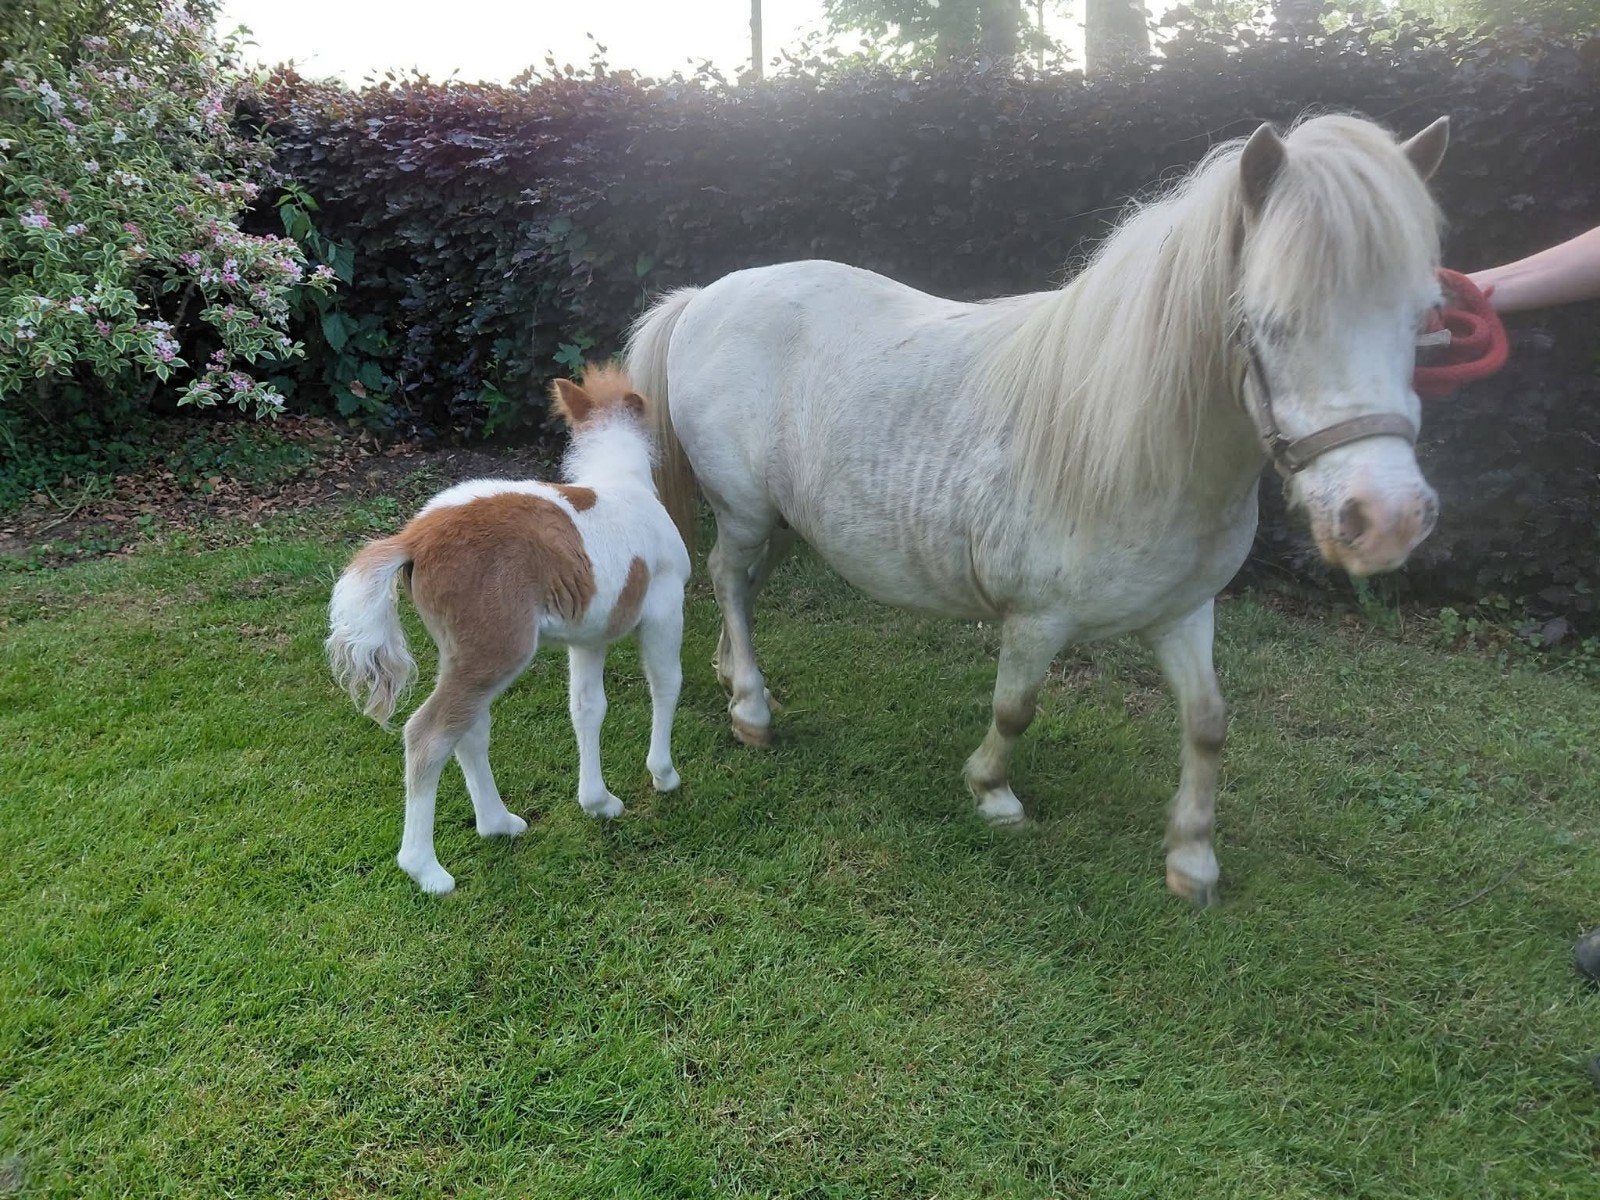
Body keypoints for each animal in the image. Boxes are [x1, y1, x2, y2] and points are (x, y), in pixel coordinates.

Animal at [326, 365, 690, 894]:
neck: (621, 481)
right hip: (499, 648)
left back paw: (498, 824)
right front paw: (663, 774)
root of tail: (413, 538)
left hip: (466, 650)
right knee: (429, 734)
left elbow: (587, 708)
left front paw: (598, 803)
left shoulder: (588, 635)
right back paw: (426, 869)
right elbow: (665, 684)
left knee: (468, 729)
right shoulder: (666, 604)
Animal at [625, 113, 1451, 906]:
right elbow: (1015, 708)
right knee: (726, 576)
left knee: (742, 584)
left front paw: (1192, 858)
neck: (1130, 441)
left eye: (1421, 319)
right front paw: (991, 793)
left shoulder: (1184, 611)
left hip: (782, 520)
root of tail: (706, 297)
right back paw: (752, 711)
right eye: (1271, 322)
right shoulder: (1037, 618)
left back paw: (734, 675)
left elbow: (1208, 722)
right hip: (743, 508)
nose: (1387, 520)